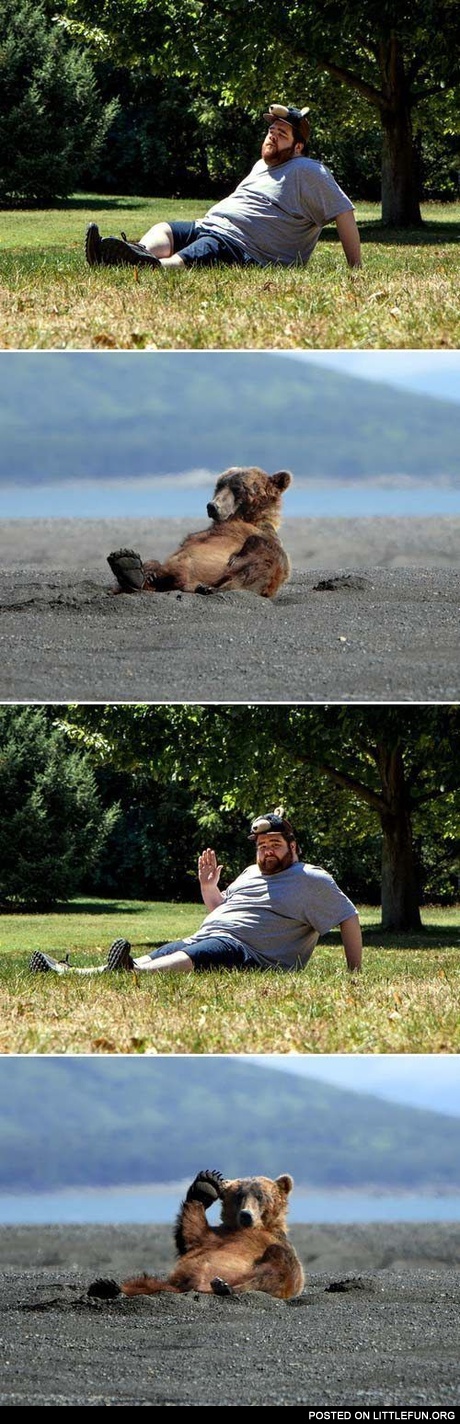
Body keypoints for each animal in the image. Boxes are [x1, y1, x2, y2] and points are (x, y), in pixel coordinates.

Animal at [87, 1168, 305, 1301]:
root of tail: (197, 1286)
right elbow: (192, 1233)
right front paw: (206, 1184)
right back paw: (106, 1287)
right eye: (239, 1196)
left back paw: (225, 1286)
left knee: (276, 1268)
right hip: (169, 1283)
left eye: (260, 1196)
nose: (246, 1215)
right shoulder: (215, 1237)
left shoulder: (274, 1242)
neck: (250, 1230)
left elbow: (288, 1269)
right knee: (144, 1283)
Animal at [107, 466, 292, 599]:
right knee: (153, 567)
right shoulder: (197, 537)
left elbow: (267, 555)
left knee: (257, 569)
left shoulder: (265, 537)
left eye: (238, 488)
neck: (244, 519)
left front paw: (235, 559)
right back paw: (130, 568)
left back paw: (210, 588)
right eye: (219, 485)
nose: (212, 506)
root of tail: (187, 583)